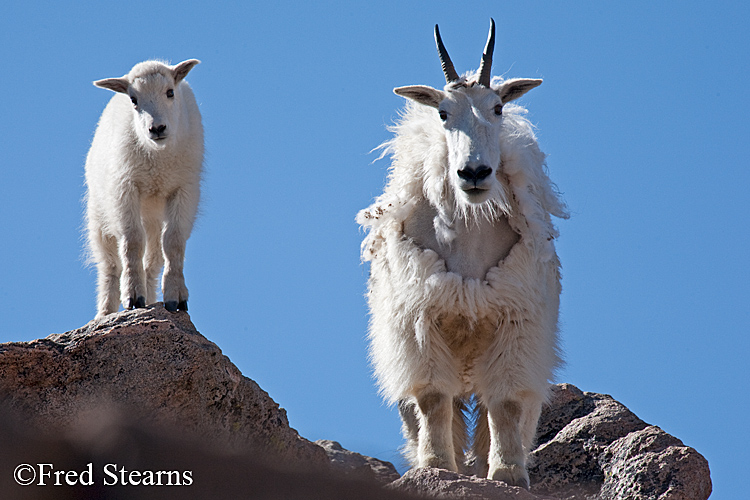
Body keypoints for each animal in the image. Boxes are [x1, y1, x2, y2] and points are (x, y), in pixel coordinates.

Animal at [85, 57, 204, 316]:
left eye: (170, 92)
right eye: (133, 99)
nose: (157, 129)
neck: (157, 158)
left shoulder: (183, 190)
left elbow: (174, 241)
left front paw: (176, 298)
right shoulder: (125, 188)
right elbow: (132, 240)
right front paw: (132, 296)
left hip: (153, 218)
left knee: (152, 262)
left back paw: (150, 299)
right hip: (99, 212)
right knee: (109, 264)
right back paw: (106, 312)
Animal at [358, 20, 568, 488]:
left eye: (498, 108)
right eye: (442, 113)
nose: (474, 173)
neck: (469, 235)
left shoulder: (515, 322)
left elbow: (505, 403)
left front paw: (508, 473)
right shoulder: (420, 319)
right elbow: (434, 397)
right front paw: (436, 464)